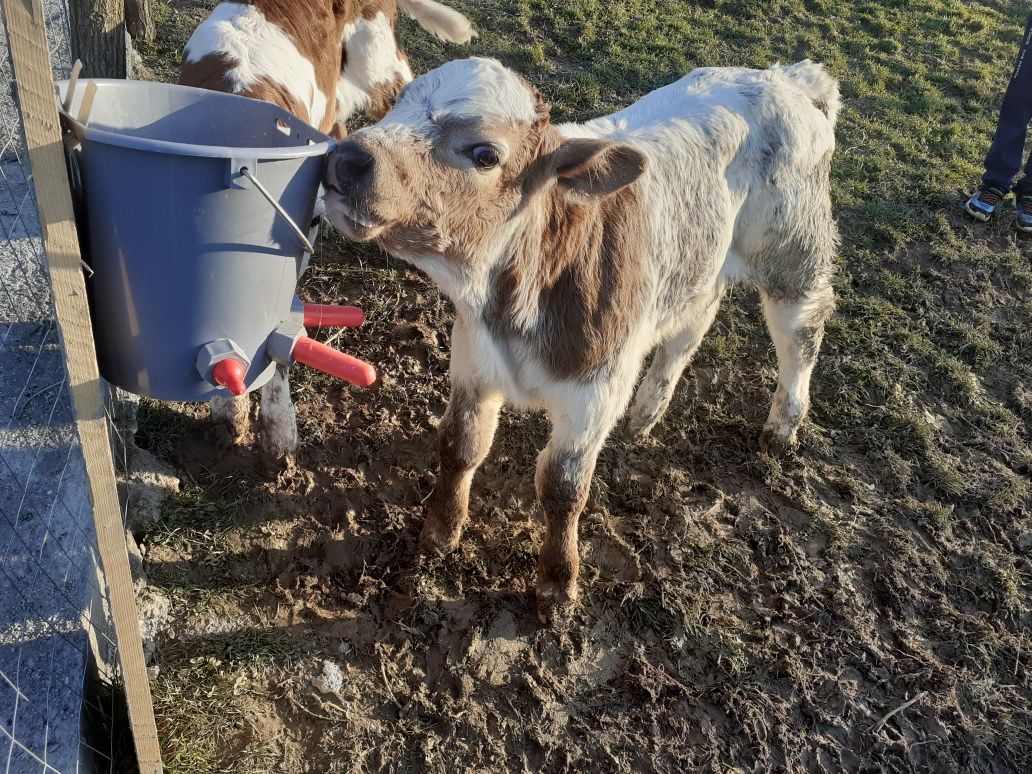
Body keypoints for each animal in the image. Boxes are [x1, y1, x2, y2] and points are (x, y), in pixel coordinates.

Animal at [326, 57, 842, 615]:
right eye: (393, 106)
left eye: (485, 153)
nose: (347, 157)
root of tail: (787, 78)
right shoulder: (472, 358)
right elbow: (460, 445)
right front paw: (442, 533)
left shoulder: (596, 390)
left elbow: (562, 486)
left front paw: (557, 583)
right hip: (700, 262)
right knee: (693, 322)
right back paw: (648, 410)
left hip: (793, 250)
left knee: (803, 330)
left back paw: (783, 426)